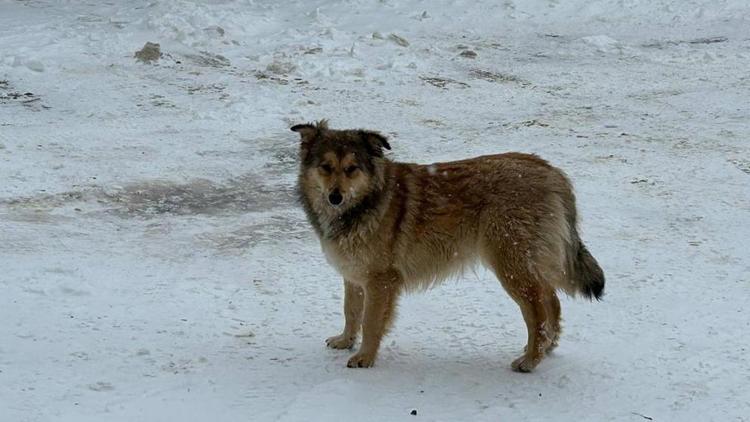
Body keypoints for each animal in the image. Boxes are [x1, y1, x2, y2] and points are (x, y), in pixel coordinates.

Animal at [292, 120, 604, 370]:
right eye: (325, 167)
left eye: (352, 169)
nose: (335, 197)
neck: (366, 203)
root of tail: (551, 172)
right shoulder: (355, 275)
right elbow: (351, 311)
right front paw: (345, 340)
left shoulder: (380, 281)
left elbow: (370, 323)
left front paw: (364, 357)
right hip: (529, 264)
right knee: (551, 300)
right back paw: (546, 347)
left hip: (511, 266)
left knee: (538, 311)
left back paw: (530, 359)